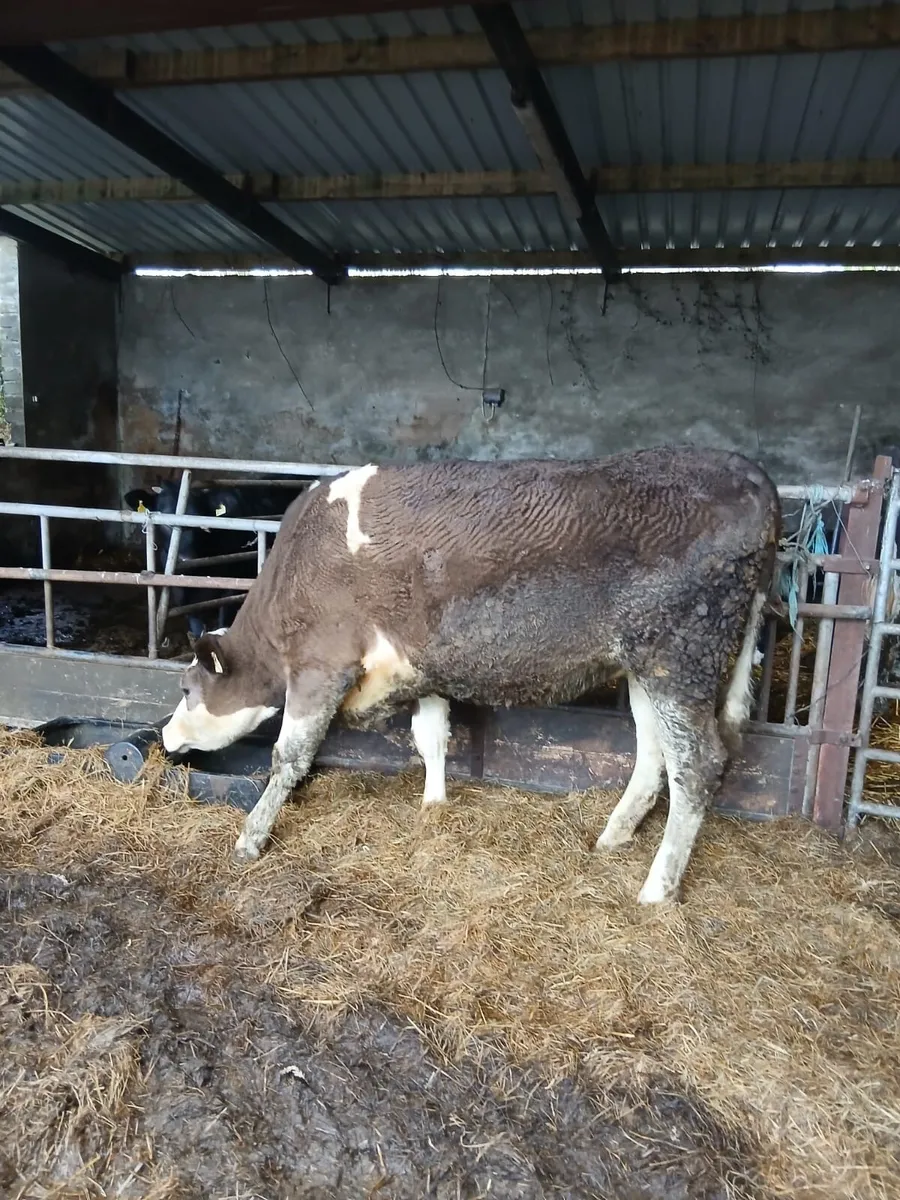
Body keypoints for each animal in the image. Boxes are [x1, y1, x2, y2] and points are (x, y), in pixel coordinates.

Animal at [124, 480, 307, 639]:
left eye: (202, 524)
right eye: (166, 524)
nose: (185, 559)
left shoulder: (233, 586)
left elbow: (224, 620)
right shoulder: (181, 592)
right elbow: (197, 626)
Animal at [160, 447, 781, 906]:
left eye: (187, 689)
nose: (165, 736)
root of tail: (751, 475)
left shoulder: (321, 663)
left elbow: (288, 757)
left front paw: (250, 838)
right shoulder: (422, 665)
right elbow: (432, 736)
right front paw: (434, 804)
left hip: (681, 654)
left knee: (697, 765)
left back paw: (657, 888)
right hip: (644, 664)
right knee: (655, 755)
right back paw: (614, 835)